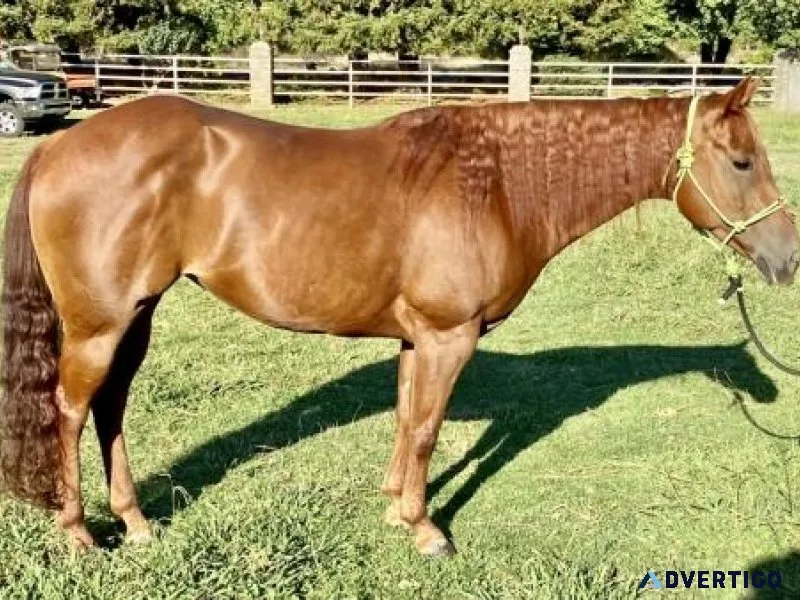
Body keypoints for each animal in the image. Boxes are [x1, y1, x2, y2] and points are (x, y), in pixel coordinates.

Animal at [1, 77, 797, 557]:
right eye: (743, 162)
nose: (788, 259)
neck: (497, 185)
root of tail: (58, 143)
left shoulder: (419, 340)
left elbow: (407, 421)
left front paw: (394, 510)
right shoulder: (449, 337)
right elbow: (425, 432)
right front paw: (426, 531)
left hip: (134, 317)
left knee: (111, 407)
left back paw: (136, 524)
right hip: (101, 324)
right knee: (70, 409)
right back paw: (79, 535)